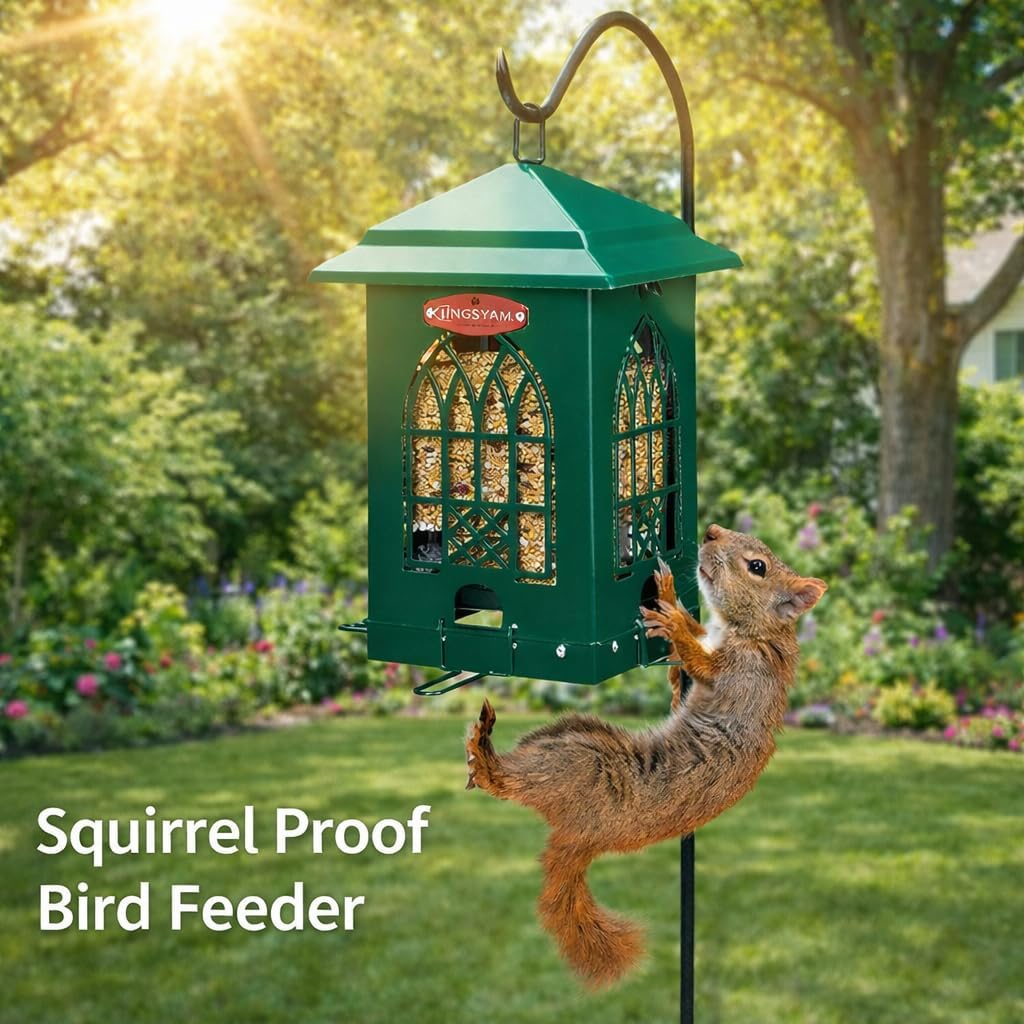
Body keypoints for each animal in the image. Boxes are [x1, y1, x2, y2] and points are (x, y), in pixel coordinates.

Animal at [464, 522, 826, 987]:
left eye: (757, 567)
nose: (711, 531)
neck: (760, 631)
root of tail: (582, 839)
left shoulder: (743, 672)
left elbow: (702, 663)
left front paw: (671, 616)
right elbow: (687, 668)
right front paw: (674, 607)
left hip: (579, 765)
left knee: (505, 784)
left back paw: (484, 758)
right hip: (575, 731)